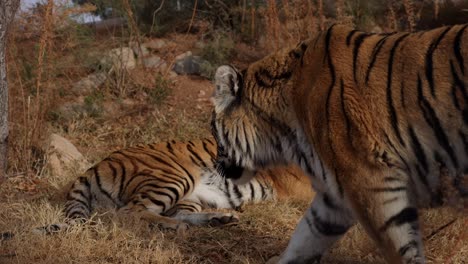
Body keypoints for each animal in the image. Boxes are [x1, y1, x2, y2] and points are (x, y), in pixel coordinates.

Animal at [33, 137, 314, 234]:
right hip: (176, 176)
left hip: (192, 196)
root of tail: (96, 165)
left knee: (180, 214)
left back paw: (220, 219)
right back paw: (175, 226)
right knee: (128, 213)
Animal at [211, 23, 468, 264]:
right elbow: (304, 238)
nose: (215, 166)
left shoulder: (369, 181)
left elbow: (400, 248)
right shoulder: (333, 198)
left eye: (213, 130)